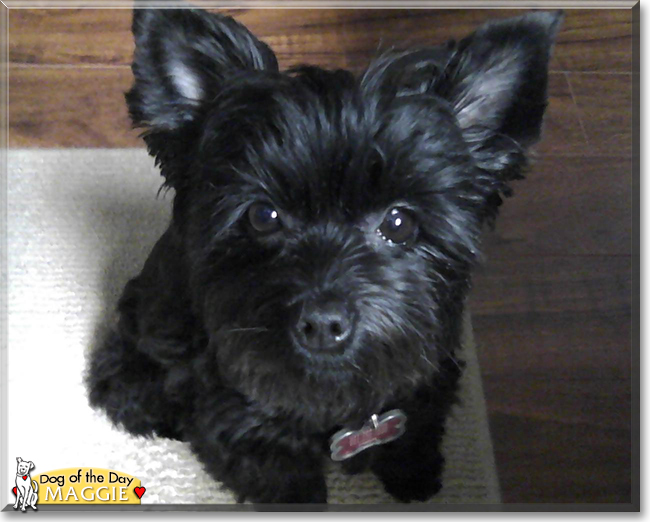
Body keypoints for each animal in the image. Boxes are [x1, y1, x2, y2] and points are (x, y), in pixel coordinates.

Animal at [86, 8, 560, 502]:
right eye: (263, 216)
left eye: (399, 223)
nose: (323, 323)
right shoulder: (245, 427)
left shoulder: (429, 380)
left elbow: (414, 433)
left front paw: (416, 476)